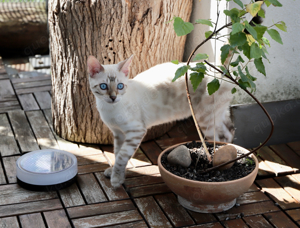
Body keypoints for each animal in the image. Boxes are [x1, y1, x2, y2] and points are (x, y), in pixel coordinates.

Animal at [86, 56, 234, 188]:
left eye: (120, 86)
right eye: (103, 86)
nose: (113, 97)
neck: (110, 109)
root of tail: (222, 70)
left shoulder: (135, 131)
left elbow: (122, 156)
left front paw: (116, 179)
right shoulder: (119, 133)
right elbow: (117, 153)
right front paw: (114, 173)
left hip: (204, 119)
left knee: (217, 142)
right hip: (217, 116)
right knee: (228, 135)